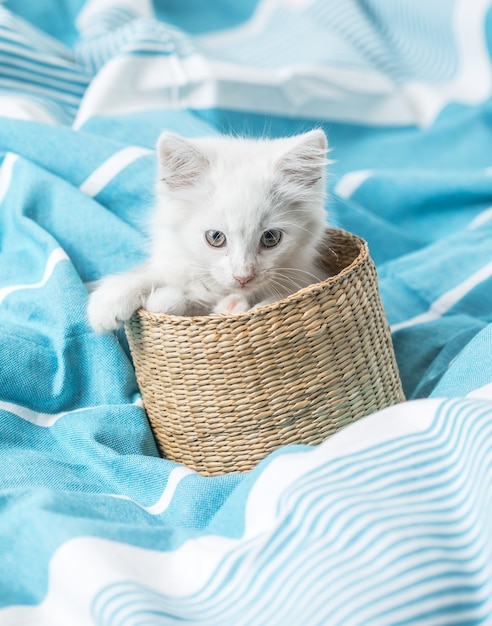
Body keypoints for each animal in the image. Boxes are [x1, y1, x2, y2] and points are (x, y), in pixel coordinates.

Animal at [88, 127, 330, 332]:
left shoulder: (306, 277)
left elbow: (274, 298)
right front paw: (110, 299)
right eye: (215, 237)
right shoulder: (178, 264)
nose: (243, 277)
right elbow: (154, 275)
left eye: (271, 238)